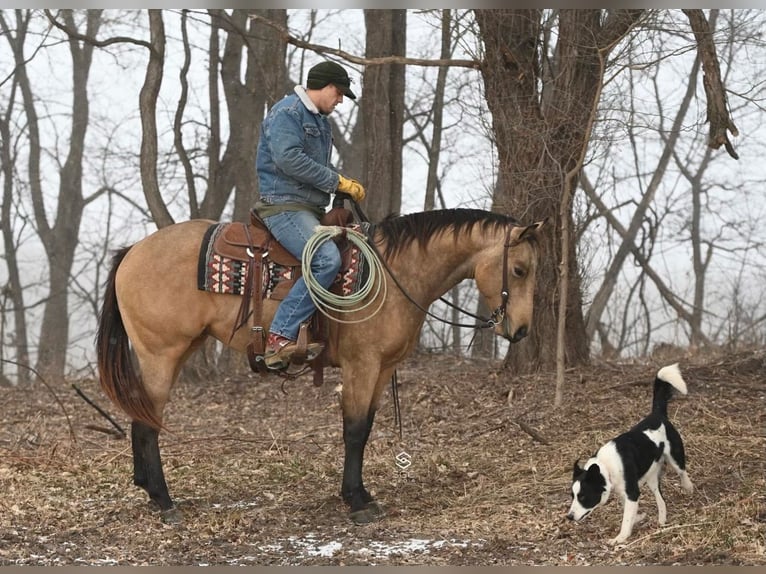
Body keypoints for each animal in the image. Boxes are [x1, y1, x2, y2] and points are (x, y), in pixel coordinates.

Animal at [96, 208, 544, 528]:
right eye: (519, 270)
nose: (522, 330)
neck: (395, 274)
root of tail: (132, 251)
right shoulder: (362, 365)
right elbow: (355, 431)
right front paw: (357, 502)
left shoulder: (382, 369)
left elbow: (366, 428)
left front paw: (362, 495)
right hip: (161, 353)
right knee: (147, 423)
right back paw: (165, 502)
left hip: (175, 352)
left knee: (139, 416)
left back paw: (149, 491)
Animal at [564, 364, 696, 544]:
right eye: (573, 496)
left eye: (583, 497)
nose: (569, 517)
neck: (605, 467)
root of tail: (657, 414)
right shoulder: (625, 492)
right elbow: (628, 510)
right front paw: (638, 517)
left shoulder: (632, 493)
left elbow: (626, 519)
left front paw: (620, 538)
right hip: (652, 477)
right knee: (660, 498)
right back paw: (662, 519)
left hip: (675, 456)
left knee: (682, 471)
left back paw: (688, 487)